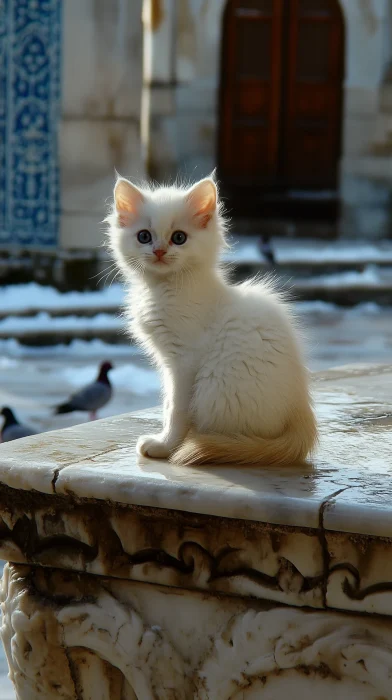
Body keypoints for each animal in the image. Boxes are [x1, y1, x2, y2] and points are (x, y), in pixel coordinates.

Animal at [108, 176, 318, 464]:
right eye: (144, 236)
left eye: (179, 238)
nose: (159, 251)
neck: (164, 288)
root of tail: (300, 410)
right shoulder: (167, 362)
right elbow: (167, 403)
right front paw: (167, 441)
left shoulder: (185, 361)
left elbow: (176, 409)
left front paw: (166, 446)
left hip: (214, 388)